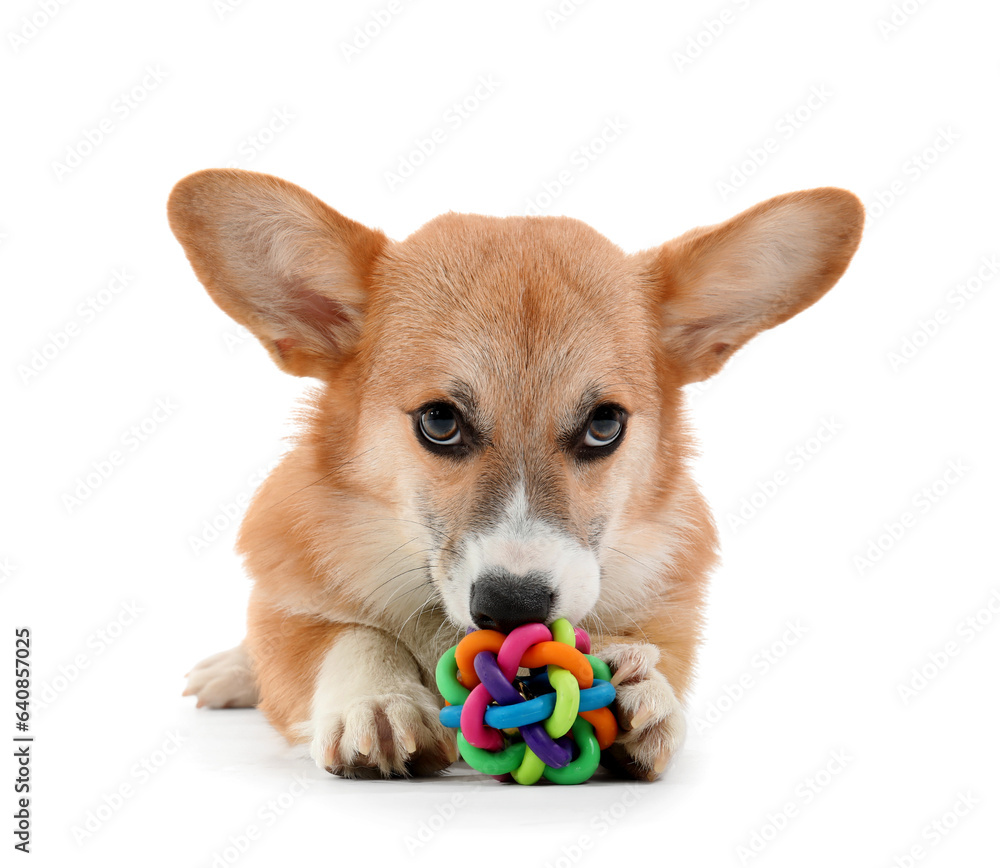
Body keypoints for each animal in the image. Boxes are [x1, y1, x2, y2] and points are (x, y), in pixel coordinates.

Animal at [168, 170, 864, 780]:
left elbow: (655, 657)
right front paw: (378, 701)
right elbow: (346, 638)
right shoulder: (287, 598)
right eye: (439, 421)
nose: (512, 607)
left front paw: (642, 688)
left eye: (605, 424)